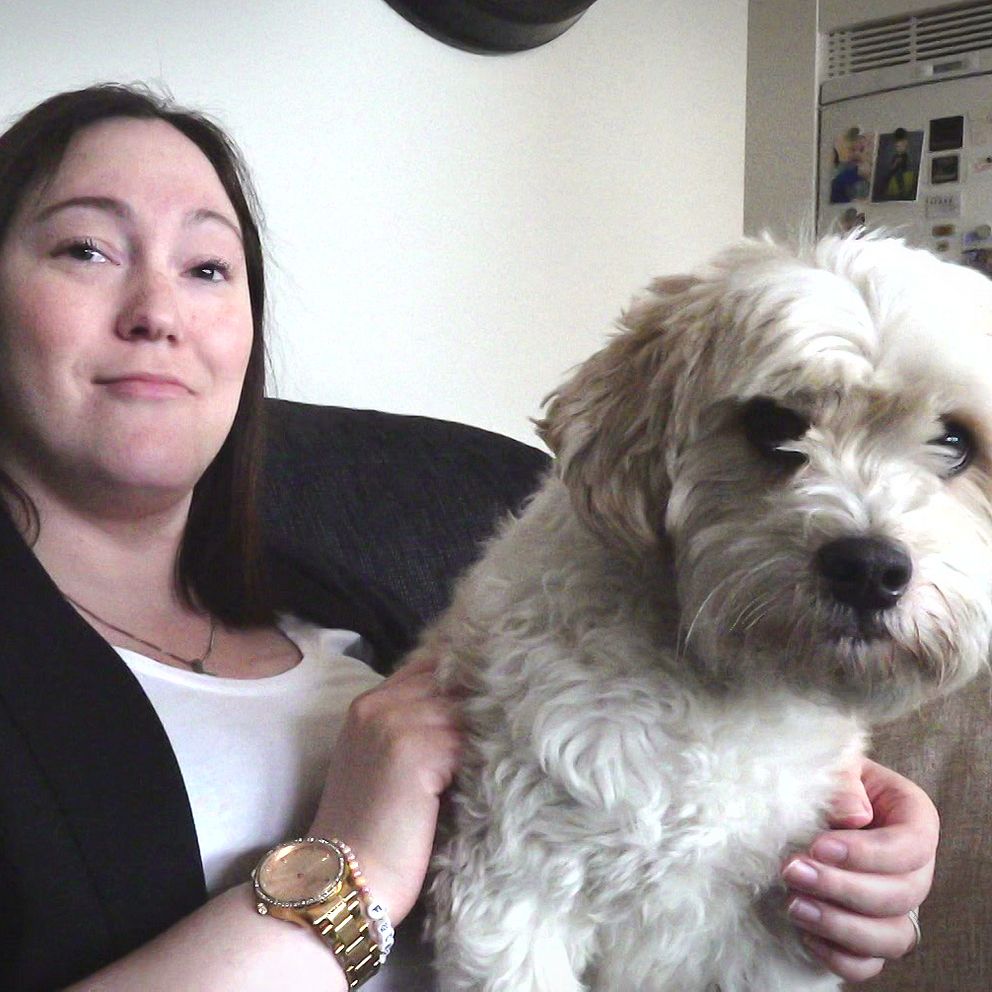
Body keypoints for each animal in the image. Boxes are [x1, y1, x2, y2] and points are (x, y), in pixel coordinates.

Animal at [423, 233, 992, 992]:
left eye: (956, 441)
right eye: (773, 424)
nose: (870, 569)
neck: (723, 688)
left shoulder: (780, 928)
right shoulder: (514, 887)